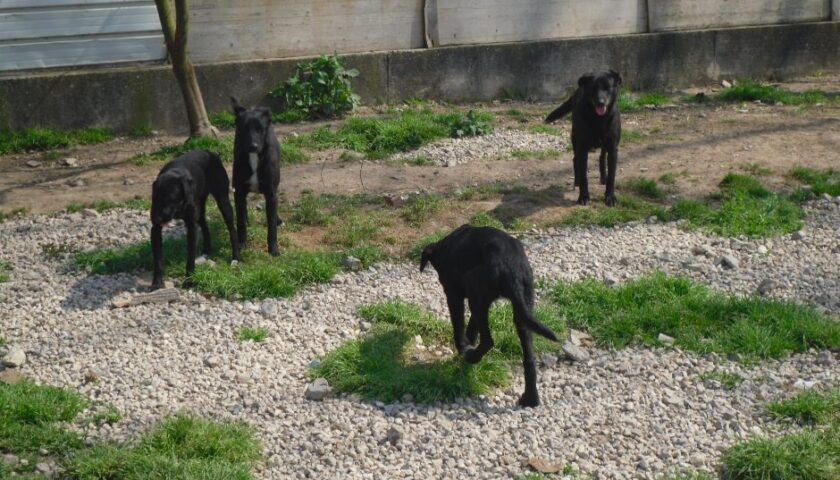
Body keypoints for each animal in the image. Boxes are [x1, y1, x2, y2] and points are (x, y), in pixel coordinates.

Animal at [151, 150, 240, 290]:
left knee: (232, 230)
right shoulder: (155, 230)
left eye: (170, 198)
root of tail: (210, 152)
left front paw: (189, 281)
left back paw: (235, 257)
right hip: (200, 208)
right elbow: (158, 260)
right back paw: (206, 251)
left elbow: (190, 257)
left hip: (223, 201)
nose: (156, 219)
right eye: (155, 198)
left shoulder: (192, 227)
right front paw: (157, 282)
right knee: (205, 227)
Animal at [231, 95, 284, 256]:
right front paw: (242, 244)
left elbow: (271, 226)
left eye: (260, 129)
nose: (252, 146)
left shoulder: (271, 193)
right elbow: (240, 223)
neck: (254, 158)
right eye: (244, 128)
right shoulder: (239, 191)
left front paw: (273, 250)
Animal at [418, 224, 556, 404]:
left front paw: (463, 347)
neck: (447, 245)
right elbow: (472, 327)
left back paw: (471, 356)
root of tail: (511, 268)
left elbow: (459, 326)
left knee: (488, 341)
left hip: (473, 288)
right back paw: (530, 399)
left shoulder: (454, 295)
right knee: (529, 359)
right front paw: (467, 345)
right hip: (523, 307)